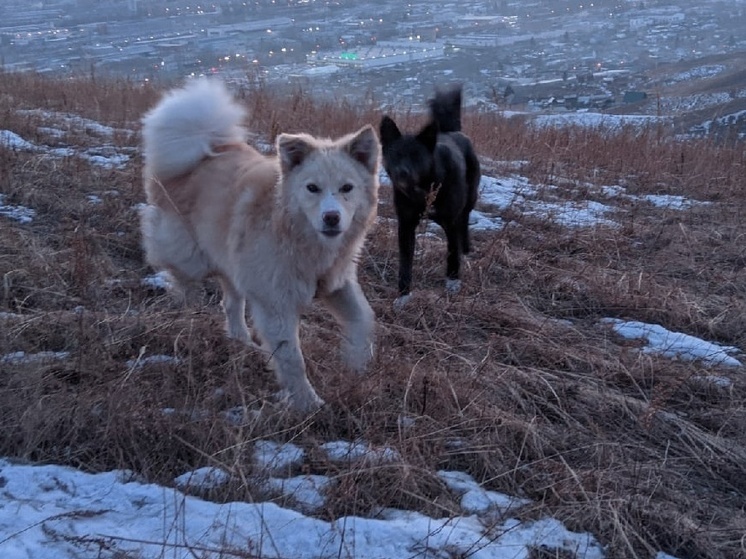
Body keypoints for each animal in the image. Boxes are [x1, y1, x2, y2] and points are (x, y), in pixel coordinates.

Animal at [140, 79, 380, 412]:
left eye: (347, 188)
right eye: (312, 188)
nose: (331, 218)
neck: (299, 238)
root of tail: (201, 150)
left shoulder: (336, 283)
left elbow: (363, 320)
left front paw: (356, 364)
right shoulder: (275, 304)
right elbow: (292, 359)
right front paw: (308, 403)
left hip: (235, 265)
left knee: (230, 303)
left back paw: (242, 342)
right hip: (192, 255)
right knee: (181, 275)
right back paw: (189, 308)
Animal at [380, 84, 480, 306]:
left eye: (416, 156)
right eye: (395, 154)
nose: (401, 172)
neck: (424, 188)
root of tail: (451, 132)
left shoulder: (451, 222)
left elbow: (452, 253)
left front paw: (453, 283)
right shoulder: (405, 225)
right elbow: (405, 263)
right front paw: (403, 296)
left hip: (470, 199)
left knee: (465, 222)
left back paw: (466, 249)